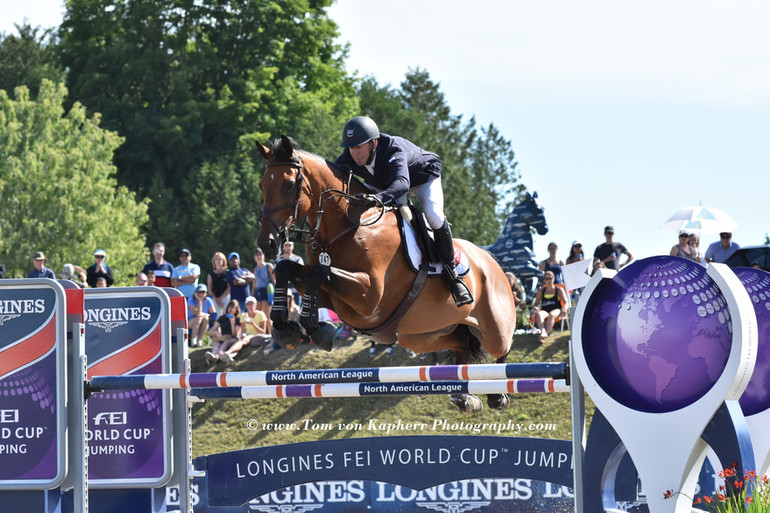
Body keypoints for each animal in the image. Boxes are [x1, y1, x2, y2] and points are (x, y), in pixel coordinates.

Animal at [255, 134, 512, 414]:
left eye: (290, 185)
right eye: (261, 185)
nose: (267, 244)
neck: (348, 225)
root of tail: (491, 260)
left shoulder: (369, 296)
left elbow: (319, 272)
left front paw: (317, 330)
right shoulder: (331, 297)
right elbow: (287, 268)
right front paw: (286, 329)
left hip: (494, 327)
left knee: (501, 348)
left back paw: (497, 395)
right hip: (423, 335)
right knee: (461, 345)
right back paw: (464, 398)